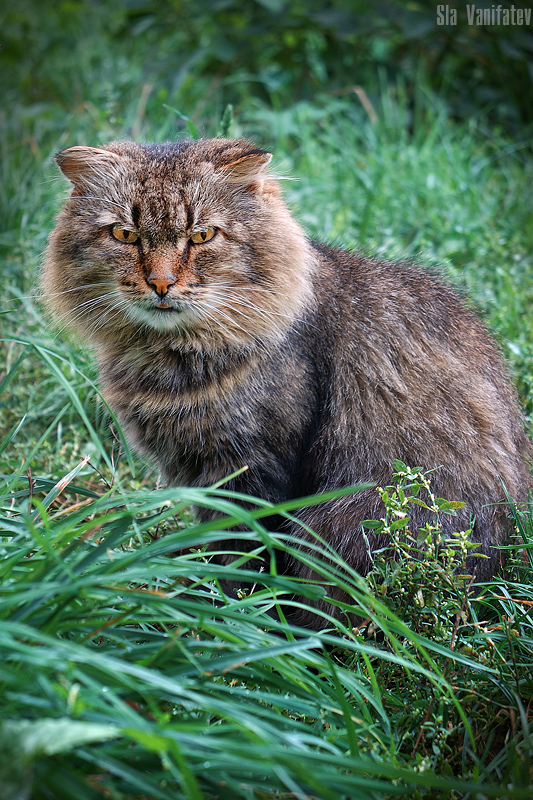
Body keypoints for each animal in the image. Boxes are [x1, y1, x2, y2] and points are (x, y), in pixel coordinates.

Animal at [42, 136, 532, 624]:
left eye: (202, 237)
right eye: (125, 235)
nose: (160, 284)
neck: (169, 357)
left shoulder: (254, 468)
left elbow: (242, 561)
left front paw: (232, 617)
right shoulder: (201, 472)